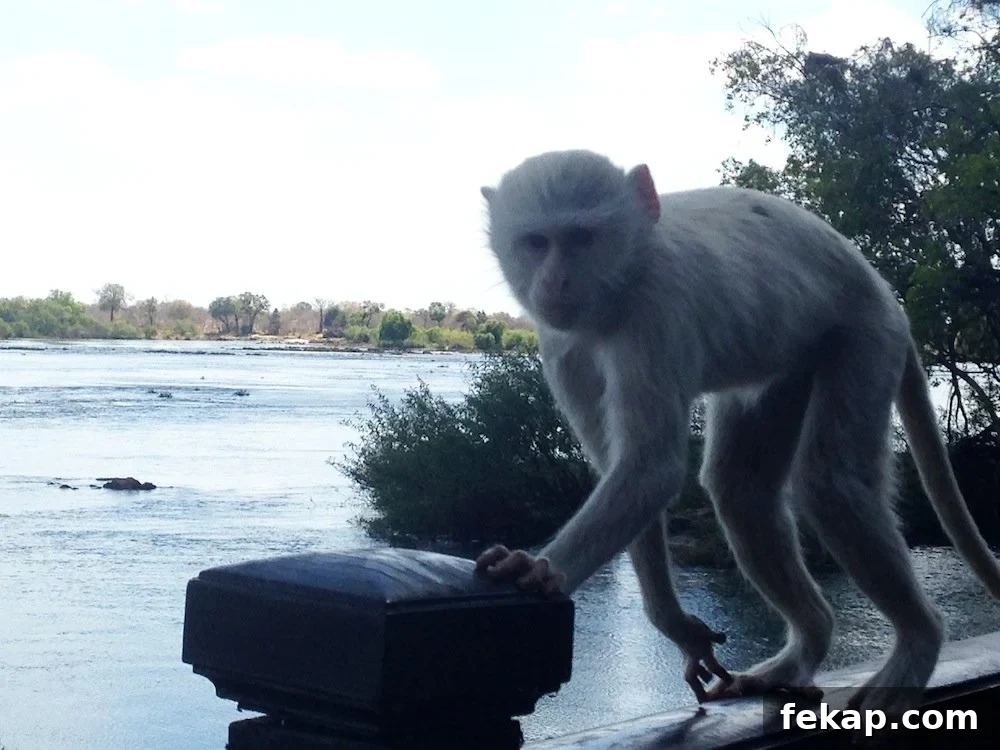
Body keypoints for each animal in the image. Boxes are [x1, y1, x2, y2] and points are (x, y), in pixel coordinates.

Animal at [473, 149, 1000, 716]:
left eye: (581, 238)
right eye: (536, 243)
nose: (553, 283)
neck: (626, 274)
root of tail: (885, 292)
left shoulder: (656, 313)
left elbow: (650, 470)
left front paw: (542, 569)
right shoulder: (560, 342)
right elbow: (622, 469)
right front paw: (676, 625)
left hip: (866, 335)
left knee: (832, 485)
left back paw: (918, 644)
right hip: (793, 361)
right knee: (741, 488)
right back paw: (805, 647)